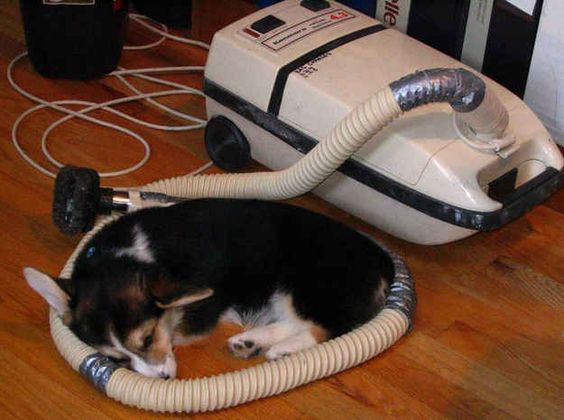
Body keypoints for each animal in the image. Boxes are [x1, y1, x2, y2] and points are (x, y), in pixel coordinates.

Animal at [24, 199, 394, 378]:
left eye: (148, 338)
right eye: (112, 358)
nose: (162, 380)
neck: (130, 255)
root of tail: (381, 259)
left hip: (301, 284)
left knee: (325, 327)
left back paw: (282, 350)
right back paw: (251, 342)